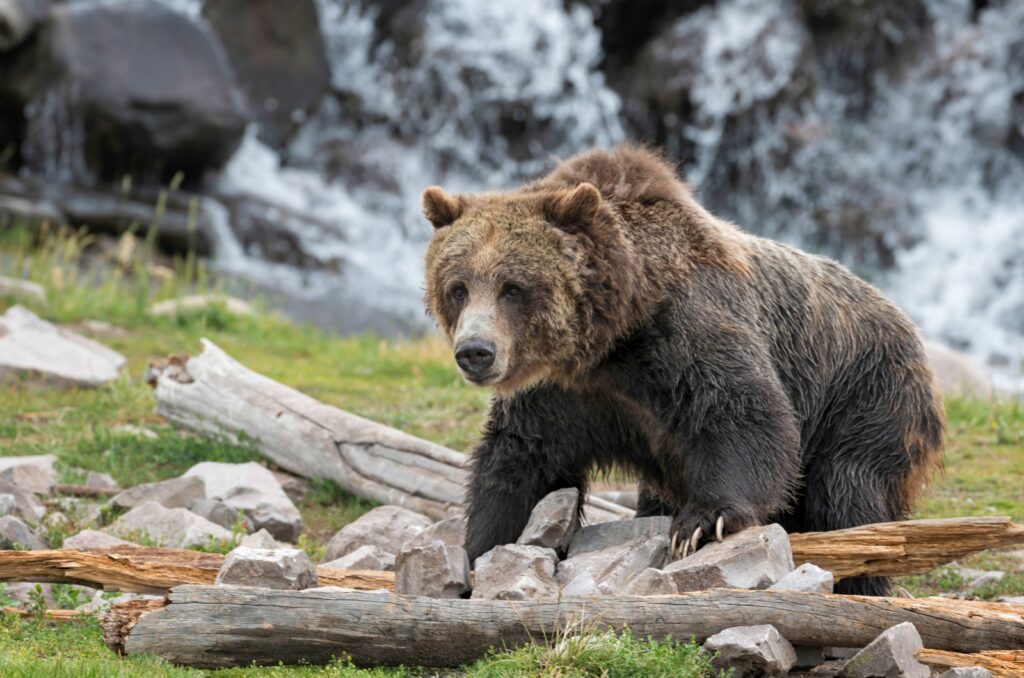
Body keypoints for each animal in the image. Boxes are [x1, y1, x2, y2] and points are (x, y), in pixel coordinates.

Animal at [421, 145, 944, 596]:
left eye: (513, 287)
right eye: (458, 287)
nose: (475, 351)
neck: (613, 338)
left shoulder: (686, 334)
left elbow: (746, 415)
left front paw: (701, 523)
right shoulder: (565, 395)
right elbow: (520, 461)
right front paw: (479, 550)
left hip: (866, 397)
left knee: (849, 494)